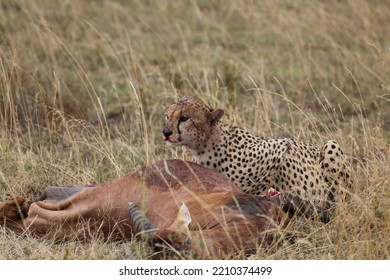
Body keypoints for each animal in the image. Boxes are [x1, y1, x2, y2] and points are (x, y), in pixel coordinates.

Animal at [163, 95, 352, 218]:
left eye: (184, 118)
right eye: (167, 116)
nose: (166, 132)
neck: (206, 145)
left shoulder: (277, 149)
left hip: (331, 146)